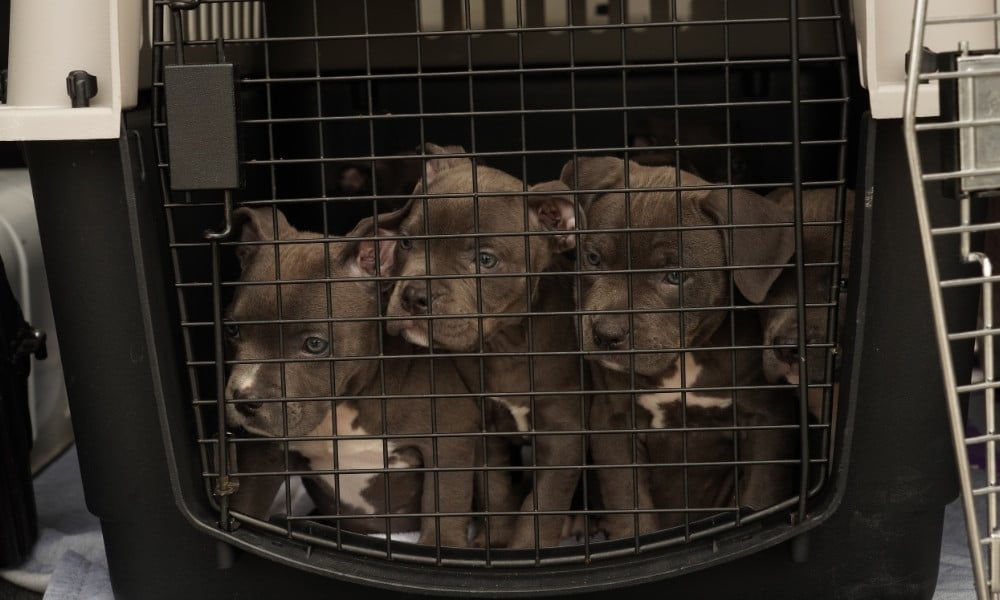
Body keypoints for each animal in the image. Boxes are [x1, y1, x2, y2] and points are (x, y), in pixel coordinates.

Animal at [224, 206, 480, 548]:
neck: (344, 404)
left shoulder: (451, 438)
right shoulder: (263, 455)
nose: (244, 399)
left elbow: (444, 506)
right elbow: (248, 506)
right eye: (232, 330)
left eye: (315, 344)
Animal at [380, 145, 584, 548]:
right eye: (407, 241)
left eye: (485, 261)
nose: (414, 296)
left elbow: (541, 505)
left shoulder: (563, 436)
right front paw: (496, 543)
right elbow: (497, 490)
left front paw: (525, 549)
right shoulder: (485, 428)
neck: (507, 344)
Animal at [564, 157, 796, 540]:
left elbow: (759, 496)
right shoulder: (614, 422)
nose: (606, 334)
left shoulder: (768, 421)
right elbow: (630, 505)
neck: (683, 359)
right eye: (593, 258)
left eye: (674, 276)